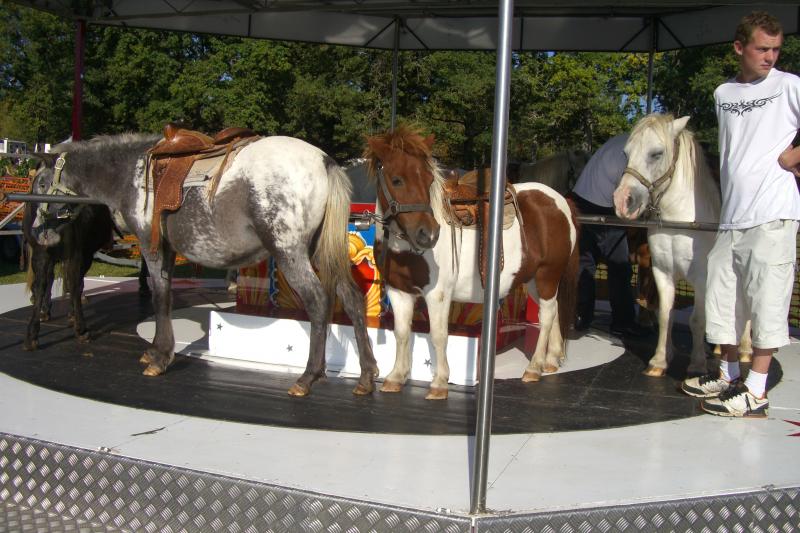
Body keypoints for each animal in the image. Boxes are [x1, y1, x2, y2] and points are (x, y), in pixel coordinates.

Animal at [29, 132, 378, 397]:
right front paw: (155, 350)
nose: (38, 232)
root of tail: (324, 161)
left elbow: (160, 296)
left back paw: (308, 377)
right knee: (351, 298)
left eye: (42, 183)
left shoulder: (151, 247)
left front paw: (160, 357)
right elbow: (164, 295)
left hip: (289, 252)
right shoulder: (168, 250)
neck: (131, 174)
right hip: (321, 251)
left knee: (318, 301)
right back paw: (366, 375)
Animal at [364, 126, 580, 399]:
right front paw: (396, 377)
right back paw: (550, 361)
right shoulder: (399, 291)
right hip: (532, 279)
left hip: (547, 275)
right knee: (552, 310)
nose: (428, 234)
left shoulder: (437, 294)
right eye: (396, 180)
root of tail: (561, 201)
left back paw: (534, 367)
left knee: (548, 314)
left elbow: (438, 335)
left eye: (429, 180)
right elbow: (402, 333)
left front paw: (439, 382)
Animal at [612, 113, 751, 377]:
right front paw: (660, 360)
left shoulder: (702, 277)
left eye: (656, 153)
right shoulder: (662, 271)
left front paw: (696, 365)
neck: (679, 219)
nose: (623, 201)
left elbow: (697, 320)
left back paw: (745, 348)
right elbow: (666, 315)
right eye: (625, 153)